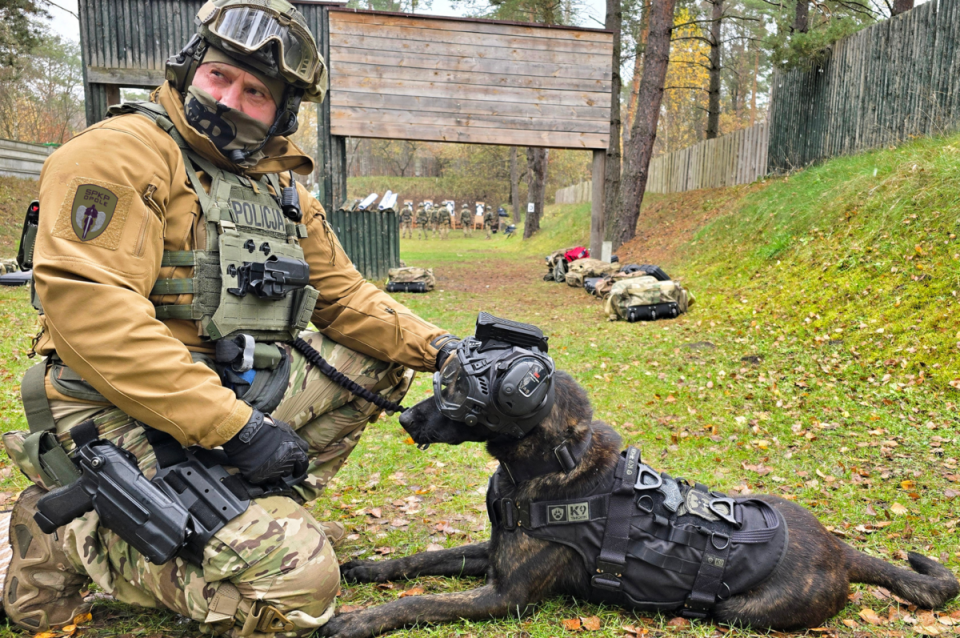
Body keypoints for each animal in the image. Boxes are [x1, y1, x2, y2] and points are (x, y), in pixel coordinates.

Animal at [322, 376, 960, 638]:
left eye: (456, 391)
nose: (404, 416)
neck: (547, 464)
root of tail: (840, 548)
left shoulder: (506, 597)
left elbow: (420, 601)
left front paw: (356, 620)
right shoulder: (492, 556)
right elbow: (423, 560)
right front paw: (367, 571)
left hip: (741, 610)